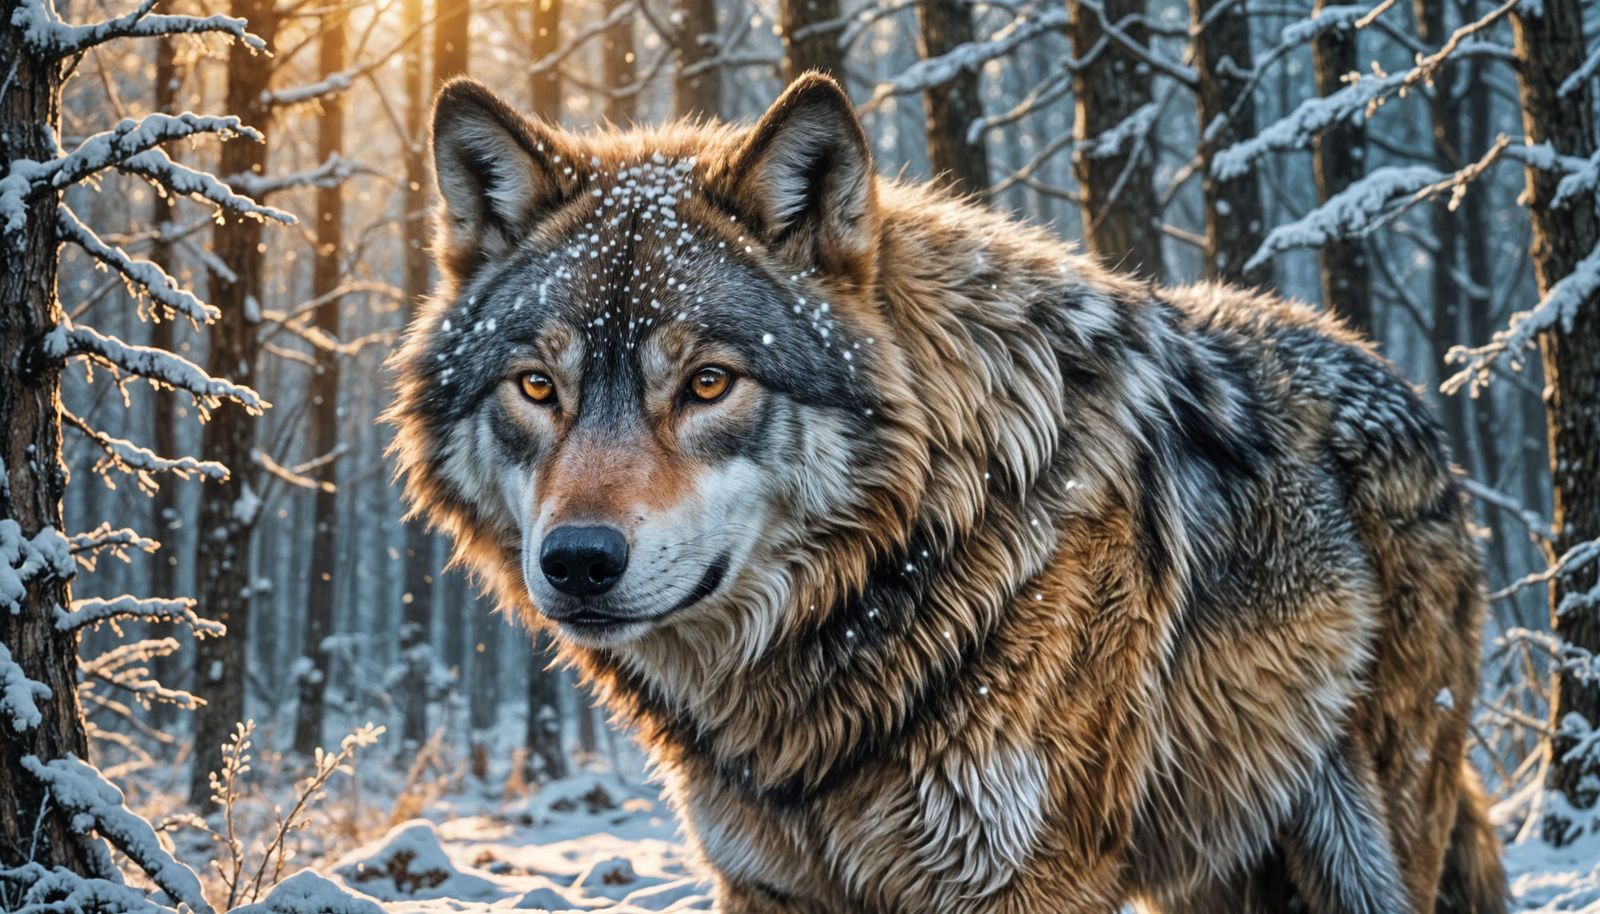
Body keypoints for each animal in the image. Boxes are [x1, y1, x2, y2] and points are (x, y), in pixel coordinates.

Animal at [386, 73, 1506, 913]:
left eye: (707, 383)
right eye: (539, 387)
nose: (577, 560)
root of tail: (1400, 384)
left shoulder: (1025, 880)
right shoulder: (765, 882)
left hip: (1369, 843)